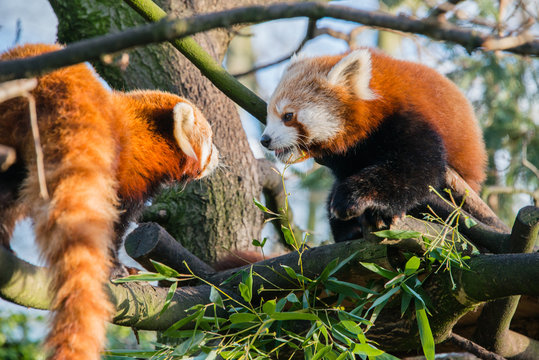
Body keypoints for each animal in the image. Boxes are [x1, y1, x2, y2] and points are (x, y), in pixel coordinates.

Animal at [262, 47, 490, 243]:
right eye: (269, 115)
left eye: (288, 116)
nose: (265, 140)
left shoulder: (409, 118)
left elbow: (415, 169)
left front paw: (356, 200)